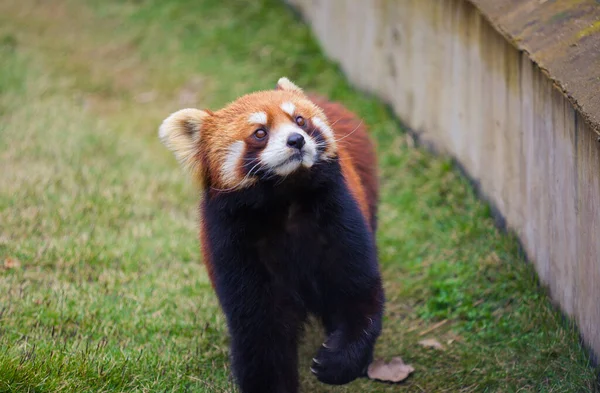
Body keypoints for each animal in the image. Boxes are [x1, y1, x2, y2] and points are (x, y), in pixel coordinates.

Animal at [159, 77, 384, 392]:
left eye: (300, 120)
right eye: (260, 132)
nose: (297, 140)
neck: (284, 200)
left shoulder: (339, 221)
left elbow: (358, 295)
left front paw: (338, 363)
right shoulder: (235, 249)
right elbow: (261, 332)